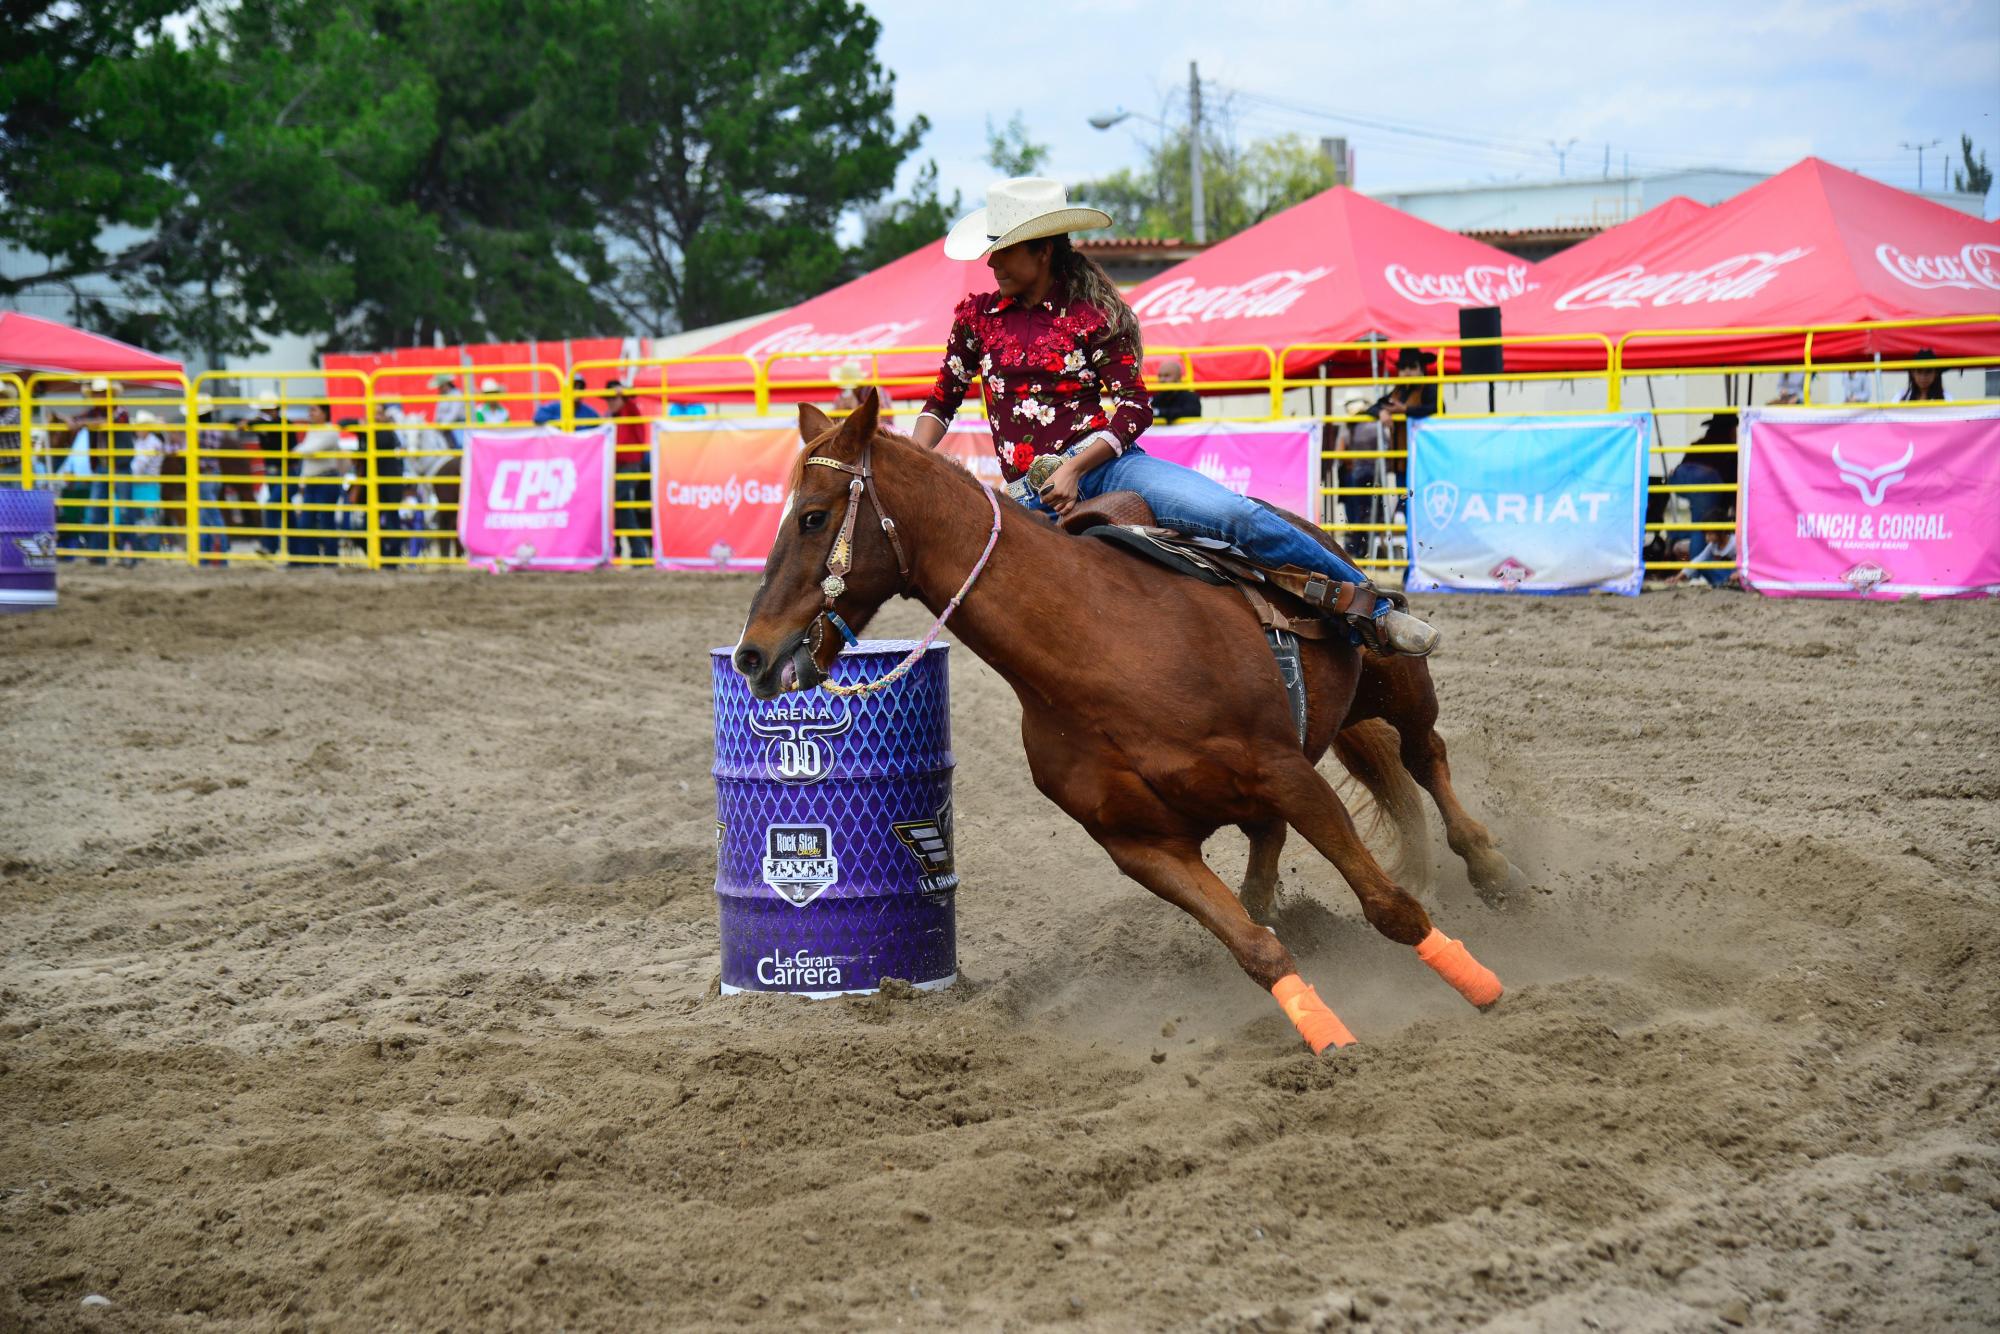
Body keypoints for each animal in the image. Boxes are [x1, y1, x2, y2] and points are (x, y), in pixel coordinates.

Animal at [744, 396, 1504, 1056]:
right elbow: (1255, 948)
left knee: (1424, 755)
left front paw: (1485, 990)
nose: (754, 654)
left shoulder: (1286, 773)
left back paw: (1492, 867)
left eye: (812, 517)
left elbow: (1390, 907)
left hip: (1396, 685)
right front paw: (1328, 1036)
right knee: (1271, 849)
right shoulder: (1142, 846)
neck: (1099, 646)